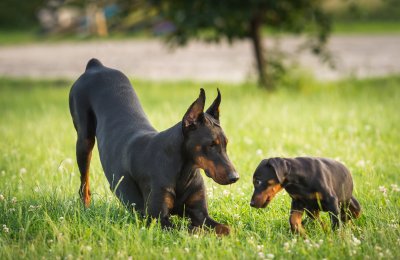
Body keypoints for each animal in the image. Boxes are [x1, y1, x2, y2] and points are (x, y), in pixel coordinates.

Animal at [68, 58, 238, 236]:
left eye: (225, 143)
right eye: (211, 144)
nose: (235, 177)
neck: (183, 171)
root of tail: (96, 66)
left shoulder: (200, 213)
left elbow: (227, 228)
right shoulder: (158, 220)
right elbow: (192, 230)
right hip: (84, 140)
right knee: (84, 182)